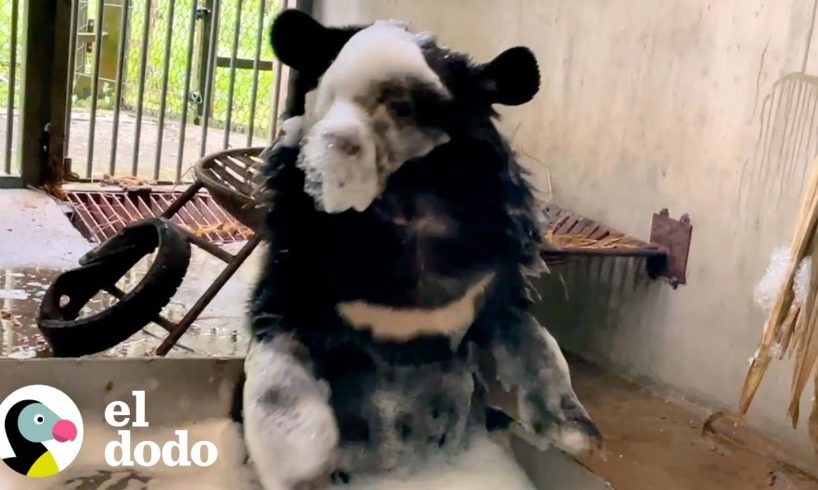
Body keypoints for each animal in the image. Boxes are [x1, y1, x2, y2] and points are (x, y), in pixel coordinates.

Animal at [236, 8, 600, 490]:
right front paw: (302, 462)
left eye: (402, 109)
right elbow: (278, 350)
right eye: (326, 96)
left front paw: (576, 433)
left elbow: (527, 335)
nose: (330, 153)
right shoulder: (303, 264)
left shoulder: (488, 270)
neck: (403, 207)